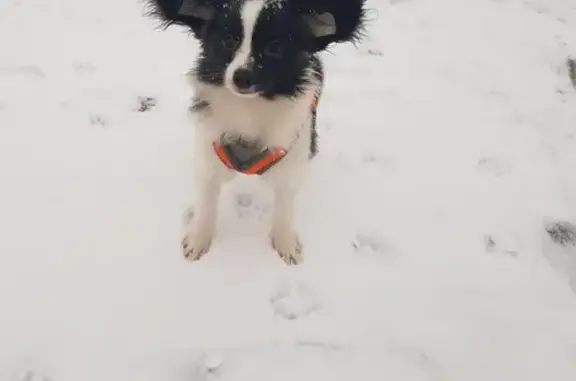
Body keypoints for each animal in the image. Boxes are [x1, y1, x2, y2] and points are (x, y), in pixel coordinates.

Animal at [146, 0, 366, 264]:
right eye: (228, 40)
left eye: (275, 47)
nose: (242, 77)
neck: (249, 107)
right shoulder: (209, 152)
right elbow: (207, 200)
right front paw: (199, 239)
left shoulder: (291, 158)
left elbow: (284, 204)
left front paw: (285, 242)